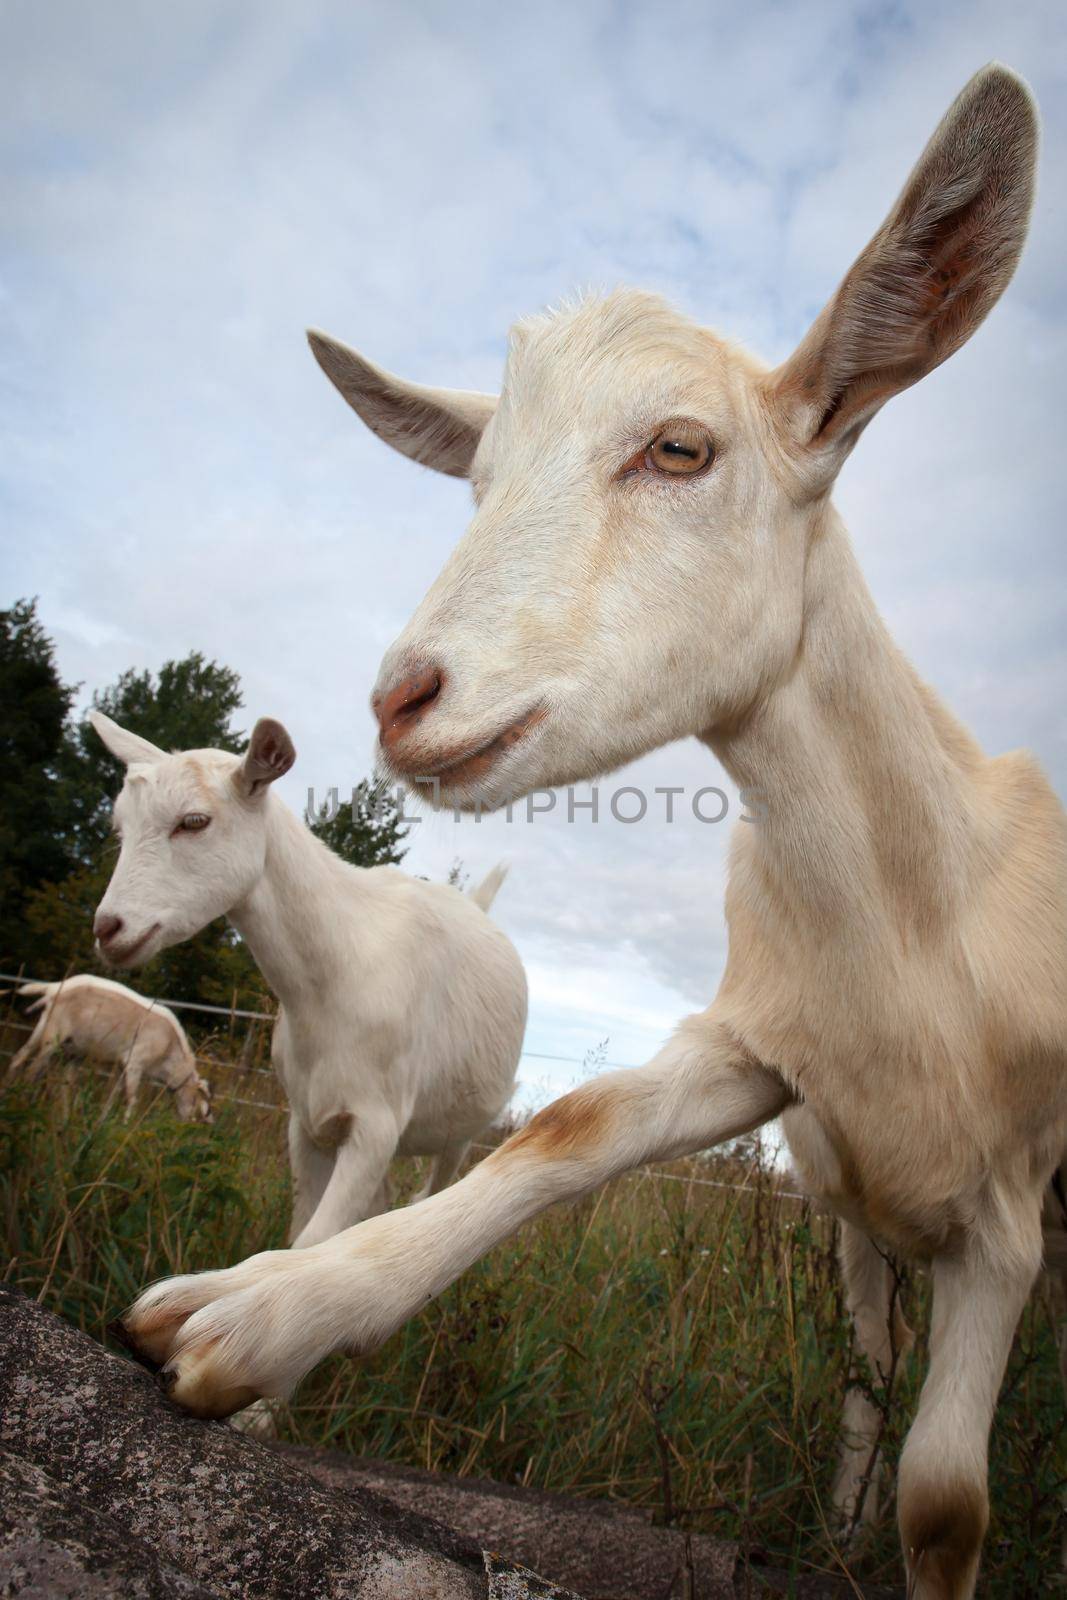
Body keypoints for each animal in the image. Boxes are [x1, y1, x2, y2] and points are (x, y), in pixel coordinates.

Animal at [5, 966, 211, 1120]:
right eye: (196, 1101)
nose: (187, 1122)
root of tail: (54, 988)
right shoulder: (135, 1063)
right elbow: (131, 1100)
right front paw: (124, 1128)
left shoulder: (122, 1068)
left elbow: (111, 1099)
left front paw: (101, 1123)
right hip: (54, 1035)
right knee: (33, 1071)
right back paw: (21, 1105)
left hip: (54, 1036)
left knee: (23, 1060)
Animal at [112, 65, 1062, 1600]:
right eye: (476, 476)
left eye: (680, 446)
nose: (402, 698)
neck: (916, 914)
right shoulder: (755, 1050)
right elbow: (569, 1126)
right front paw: (253, 1311)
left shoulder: (1005, 1214)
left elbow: (947, 1504)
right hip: (847, 1203)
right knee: (865, 1356)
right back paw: (835, 1519)